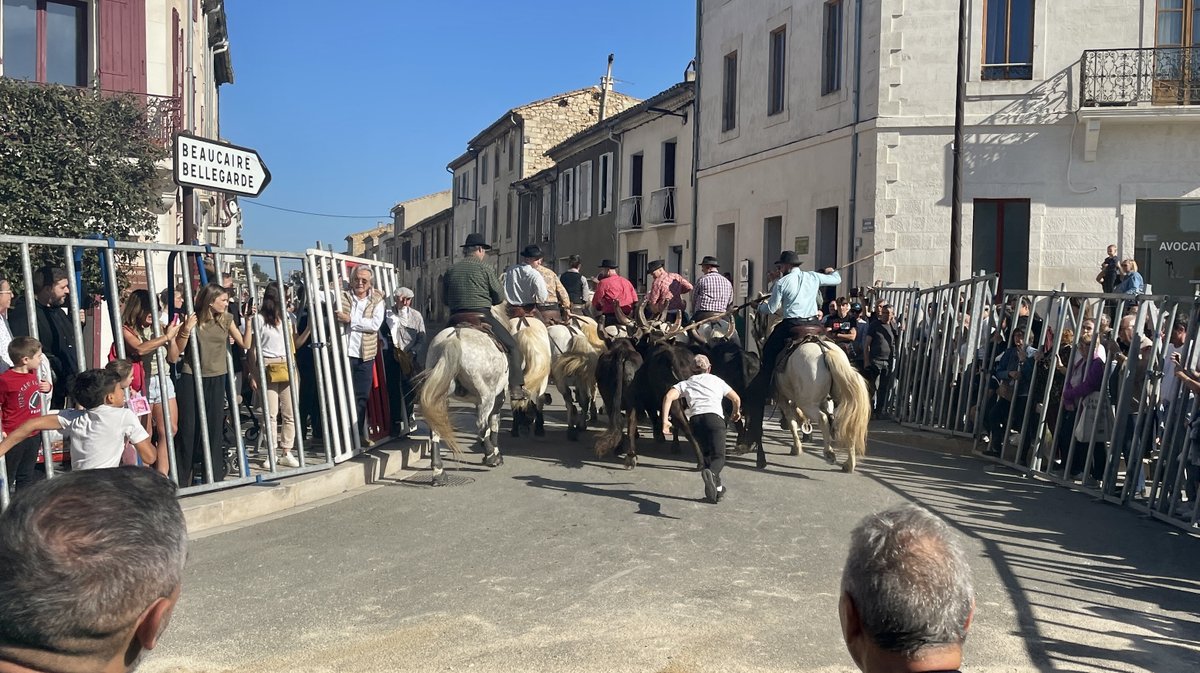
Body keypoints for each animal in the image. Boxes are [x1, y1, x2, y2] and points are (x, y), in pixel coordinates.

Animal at [422, 304, 535, 482]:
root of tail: (454, 338)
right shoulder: (499, 396)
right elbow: (494, 423)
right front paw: (496, 453)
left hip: (439, 397)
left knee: (436, 429)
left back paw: (439, 472)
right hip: (486, 396)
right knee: (481, 426)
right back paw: (491, 457)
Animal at [734, 338, 868, 470]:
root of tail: (824, 350)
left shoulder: (782, 399)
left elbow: (791, 421)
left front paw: (797, 447)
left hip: (807, 403)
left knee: (822, 418)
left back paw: (829, 453)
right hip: (842, 401)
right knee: (847, 423)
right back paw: (849, 463)